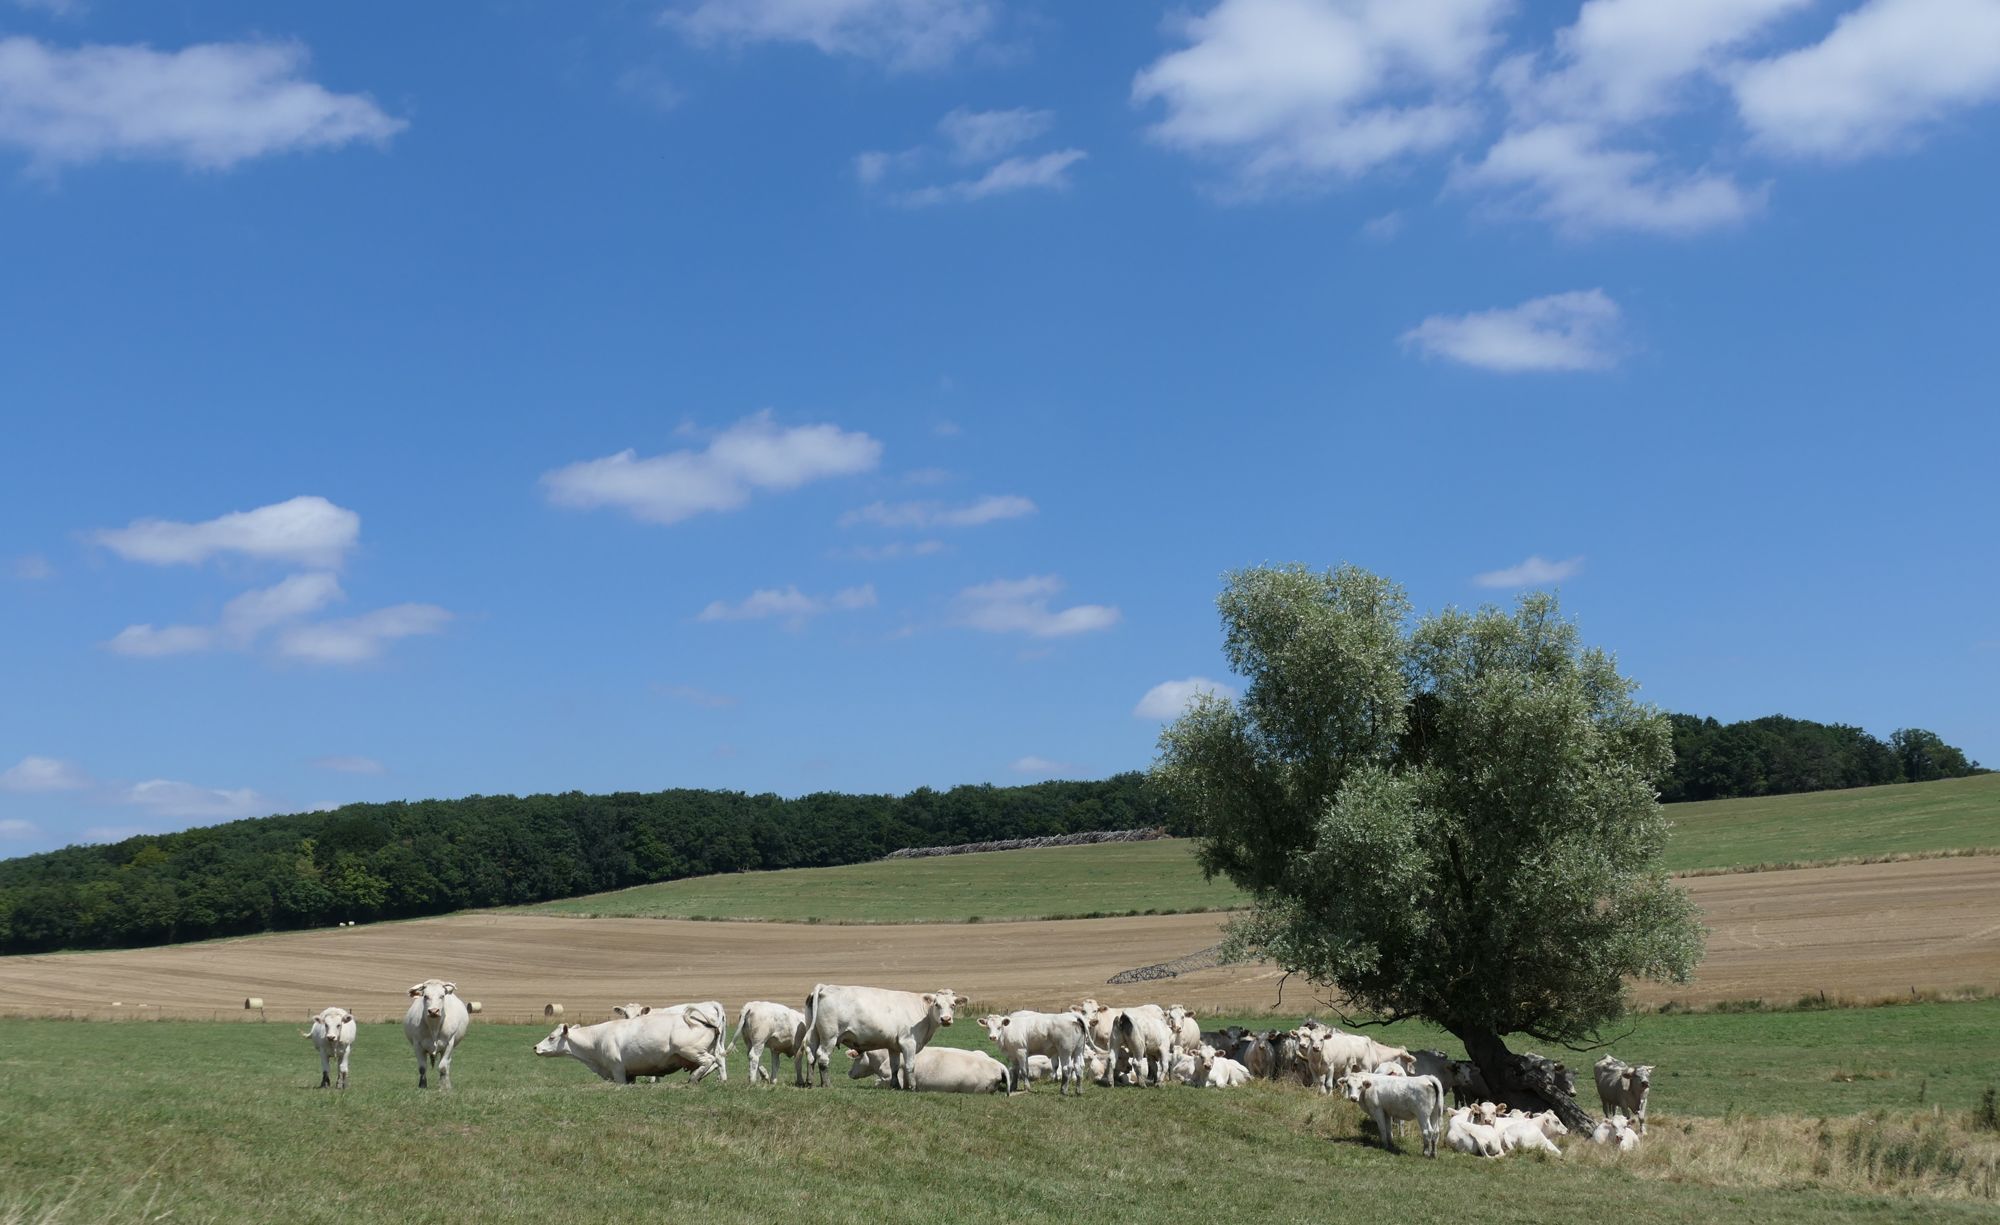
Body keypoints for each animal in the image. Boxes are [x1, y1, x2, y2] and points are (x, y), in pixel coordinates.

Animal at [534, 1009, 725, 1084]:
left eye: (551, 1037)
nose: (535, 1047)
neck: (596, 1039)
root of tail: (701, 1021)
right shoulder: (629, 1074)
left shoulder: (617, 1070)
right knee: (715, 1062)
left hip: (690, 1050)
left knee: (709, 1061)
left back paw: (693, 1078)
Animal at [795, 984, 959, 1091]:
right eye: (937, 1004)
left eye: (953, 1005)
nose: (946, 1019)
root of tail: (825, 987)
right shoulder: (909, 1043)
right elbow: (910, 1065)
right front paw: (912, 1087)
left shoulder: (894, 1046)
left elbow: (894, 1066)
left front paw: (895, 1086)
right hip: (829, 1036)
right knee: (822, 1057)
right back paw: (827, 1084)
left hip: (815, 1033)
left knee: (811, 1055)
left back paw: (809, 1082)